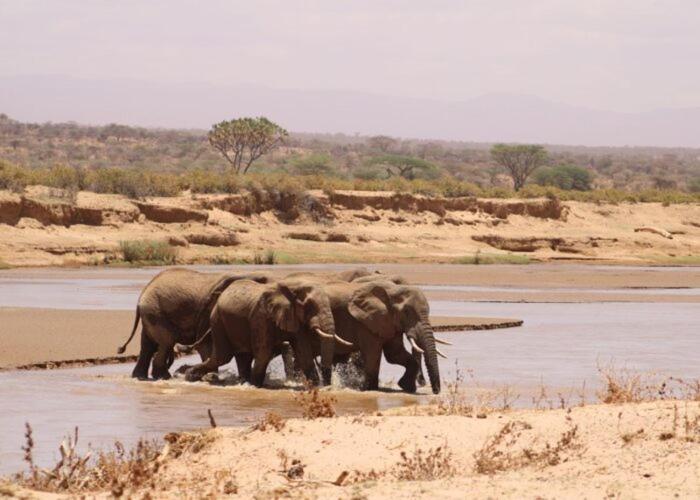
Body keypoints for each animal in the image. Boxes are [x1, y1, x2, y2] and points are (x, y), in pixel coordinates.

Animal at [117, 268, 271, 380]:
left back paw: (141, 377)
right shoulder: (209, 312)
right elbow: (206, 345)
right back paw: (164, 377)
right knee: (166, 342)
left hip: (150, 314)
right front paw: (209, 377)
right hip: (155, 312)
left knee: (148, 346)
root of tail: (143, 293)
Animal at [181, 278, 350, 387]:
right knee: (223, 356)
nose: (328, 386)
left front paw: (315, 387)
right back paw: (190, 376)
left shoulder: (294, 318)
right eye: (310, 305)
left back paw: (243, 382)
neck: (292, 285)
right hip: (218, 320)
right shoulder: (261, 317)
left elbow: (304, 353)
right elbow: (263, 353)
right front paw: (257, 386)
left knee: (242, 356)